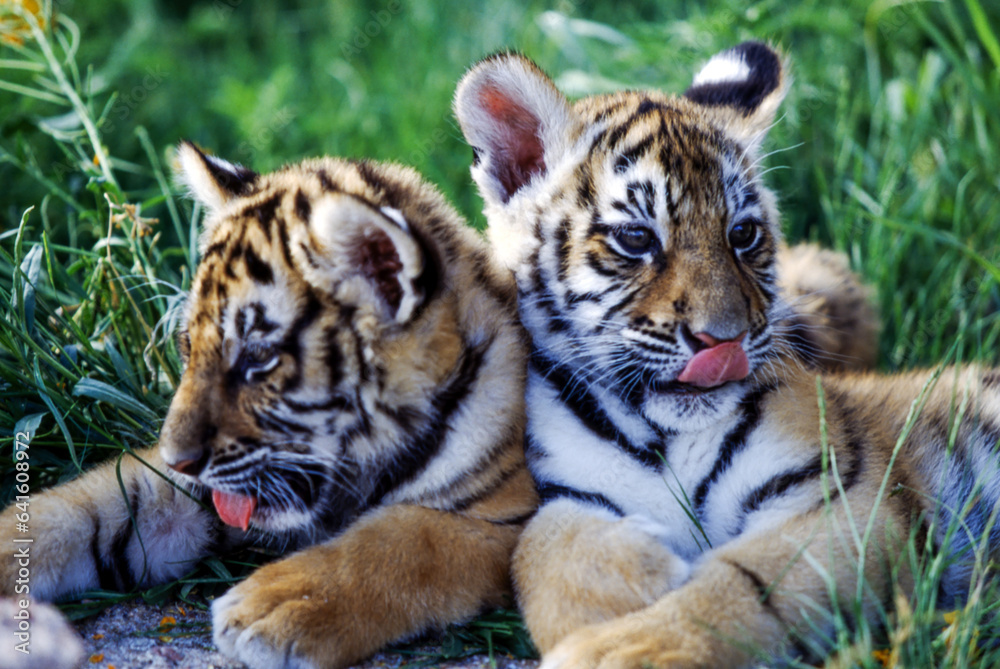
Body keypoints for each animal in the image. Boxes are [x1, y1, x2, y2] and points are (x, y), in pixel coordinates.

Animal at [0, 142, 538, 669]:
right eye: (188, 345)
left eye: (257, 358)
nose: (179, 460)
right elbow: (75, 507)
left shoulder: (515, 518)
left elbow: (405, 537)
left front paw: (273, 607)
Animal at [454, 42, 1000, 667]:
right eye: (637, 239)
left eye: (742, 234)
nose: (723, 340)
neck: (664, 438)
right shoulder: (568, 493)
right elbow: (537, 553)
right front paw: (638, 575)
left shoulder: (847, 498)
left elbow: (745, 583)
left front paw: (618, 647)